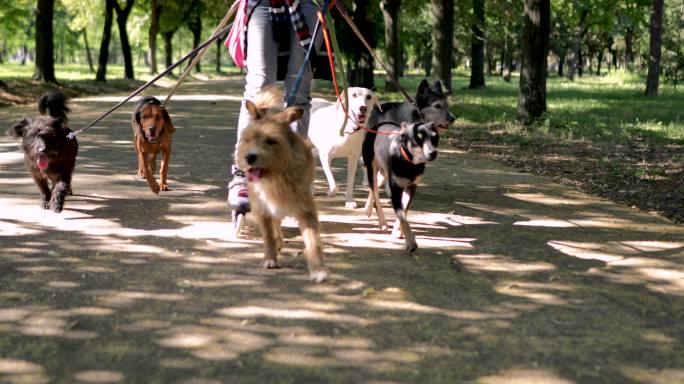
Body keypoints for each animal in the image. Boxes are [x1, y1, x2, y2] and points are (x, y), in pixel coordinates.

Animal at [238, 88, 328, 284]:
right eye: (247, 140)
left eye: (271, 141)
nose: (249, 157)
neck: (275, 177)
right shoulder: (263, 208)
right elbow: (268, 235)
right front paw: (270, 259)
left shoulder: (306, 210)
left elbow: (313, 241)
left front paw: (318, 270)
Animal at [364, 79, 454, 250]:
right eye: (437, 106)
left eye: (447, 105)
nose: (453, 118)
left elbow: (404, 209)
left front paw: (398, 231)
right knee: (374, 187)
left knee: (379, 183)